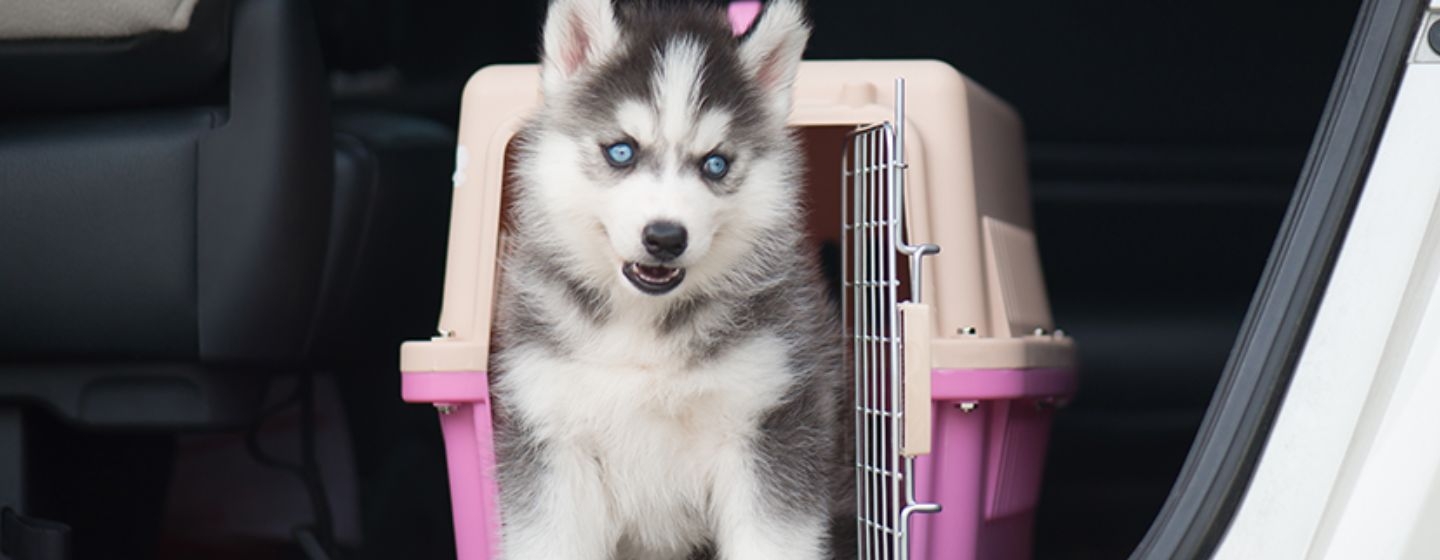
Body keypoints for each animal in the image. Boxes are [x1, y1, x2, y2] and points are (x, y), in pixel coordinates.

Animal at [495, 0, 846, 555]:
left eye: (715, 164)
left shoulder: (770, 423)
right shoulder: (551, 433)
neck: (643, 327)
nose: (664, 237)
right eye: (621, 151)